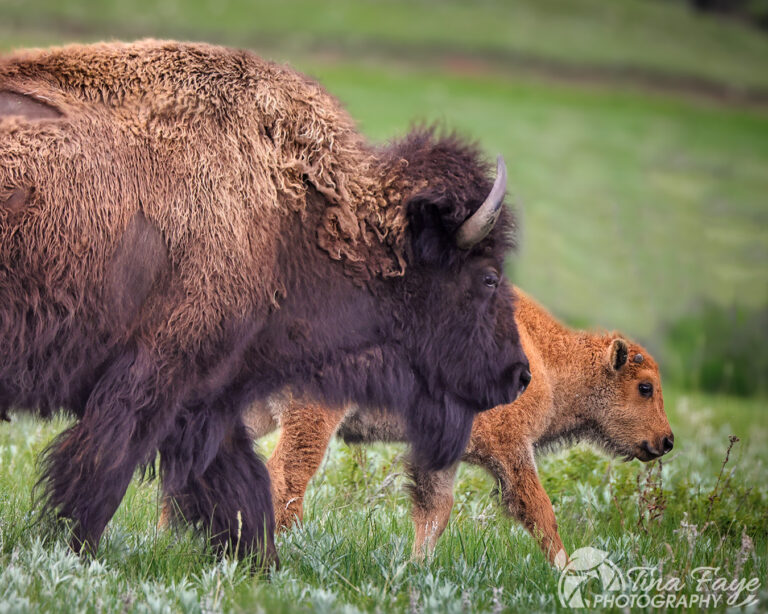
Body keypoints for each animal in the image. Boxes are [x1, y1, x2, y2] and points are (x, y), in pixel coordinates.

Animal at [0, 39, 528, 568]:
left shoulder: (207, 399)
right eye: (488, 277)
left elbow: (242, 493)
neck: (295, 213)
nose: (519, 374)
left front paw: (261, 567)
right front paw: (70, 553)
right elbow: (101, 475)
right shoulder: (155, 376)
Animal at [254, 294, 672, 568]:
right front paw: (566, 571)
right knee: (286, 477)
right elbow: (541, 511)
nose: (667, 440)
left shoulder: (440, 457)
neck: (547, 355)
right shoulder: (512, 449)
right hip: (313, 416)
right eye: (645, 387)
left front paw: (416, 568)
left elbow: (435, 511)